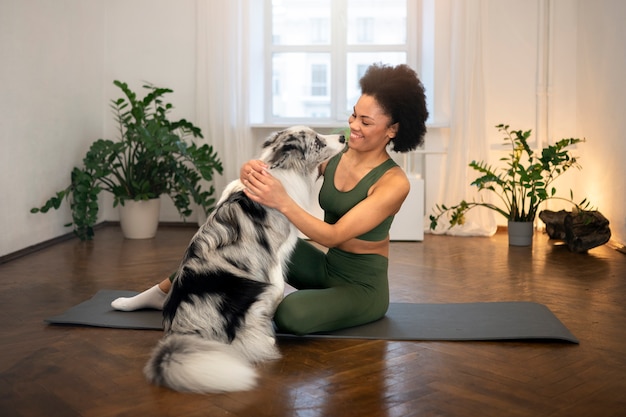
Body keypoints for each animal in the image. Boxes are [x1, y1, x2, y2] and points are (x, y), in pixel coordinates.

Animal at [143, 125, 344, 392]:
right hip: (247, 291)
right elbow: (277, 287)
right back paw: (266, 340)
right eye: (318, 142)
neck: (282, 170)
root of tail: (179, 331)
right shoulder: (273, 257)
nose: (343, 136)